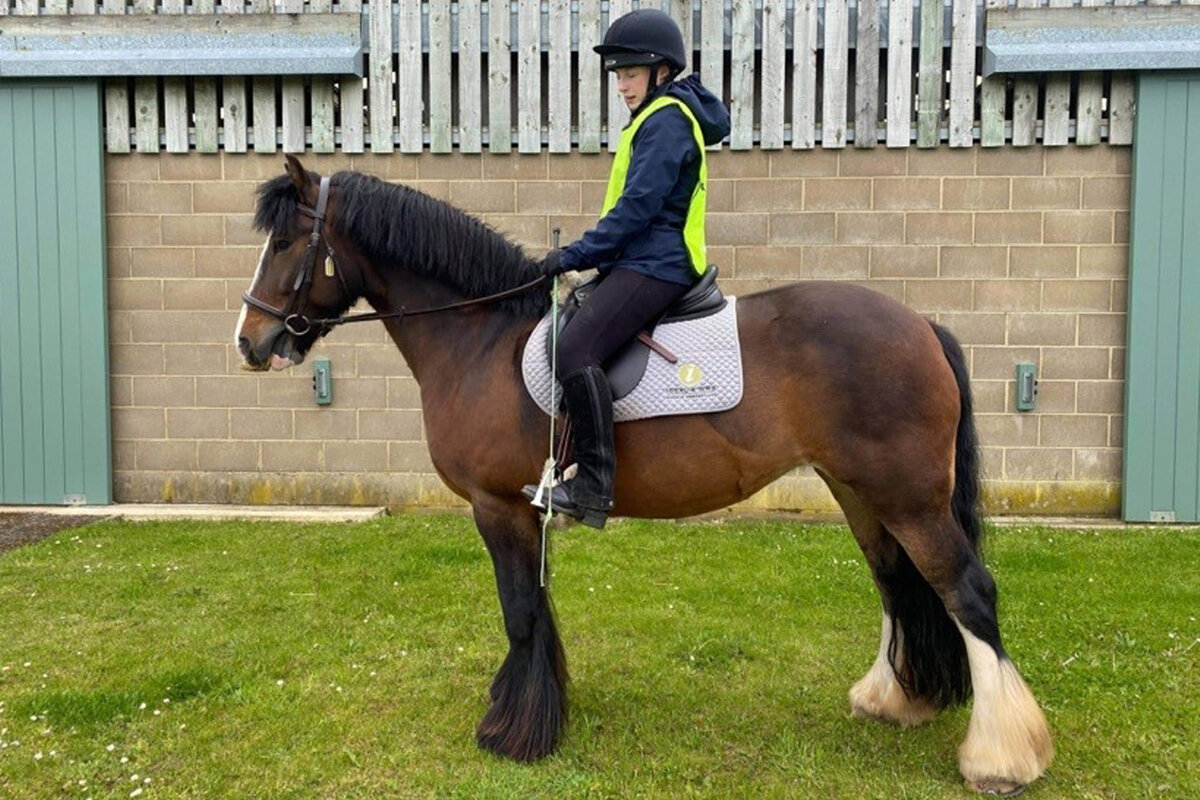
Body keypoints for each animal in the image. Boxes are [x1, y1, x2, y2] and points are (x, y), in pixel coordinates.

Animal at [234, 155, 1053, 796]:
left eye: (287, 241)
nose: (250, 341)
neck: (481, 338)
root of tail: (921, 325)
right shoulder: (524, 512)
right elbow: (537, 610)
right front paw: (538, 712)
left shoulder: (498, 507)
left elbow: (520, 613)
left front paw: (514, 732)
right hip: (859, 492)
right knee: (897, 583)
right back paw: (894, 699)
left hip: (907, 497)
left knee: (966, 591)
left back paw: (1001, 758)